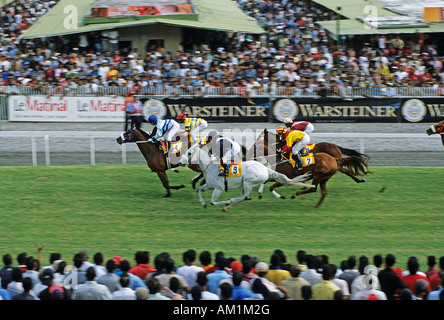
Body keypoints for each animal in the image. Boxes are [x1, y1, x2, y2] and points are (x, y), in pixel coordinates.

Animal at [180, 144, 312, 211]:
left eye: (189, 153)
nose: (181, 162)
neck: (210, 166)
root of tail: (265, 169)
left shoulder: (218, 189)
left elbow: (213, 202)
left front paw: (225, 201)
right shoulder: (209, 185)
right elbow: (198, 190)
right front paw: (203, 204)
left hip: (248, 182)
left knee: (246, 197)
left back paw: (229, 202)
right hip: (245, 184)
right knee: (243, 197)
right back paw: (229, 205)